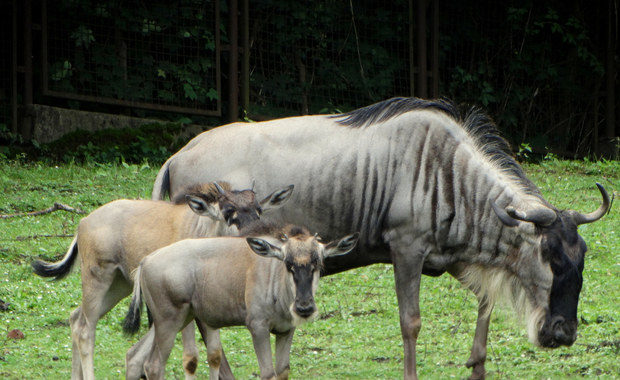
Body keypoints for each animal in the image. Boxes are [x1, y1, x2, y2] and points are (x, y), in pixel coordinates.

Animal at [32, 182, 294, 380]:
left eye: (258, 210)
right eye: (228, 212)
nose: (254, 236)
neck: (204, 229)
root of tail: (83, 223)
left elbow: (214, 354)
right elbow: (191, 358)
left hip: (119, 286)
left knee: (76, 318)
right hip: (98, 279)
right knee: (86, 329)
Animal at [123, 223, 358, 380]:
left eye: (317, 263)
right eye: (288, 263)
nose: (304, 307)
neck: (274, 276)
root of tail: (146, 261)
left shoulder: (285, 331)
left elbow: (282, 372)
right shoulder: (258, 328)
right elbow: (268, 373)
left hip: (176, 320)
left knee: (135, 356)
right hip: (169, 322)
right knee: (154, 365)